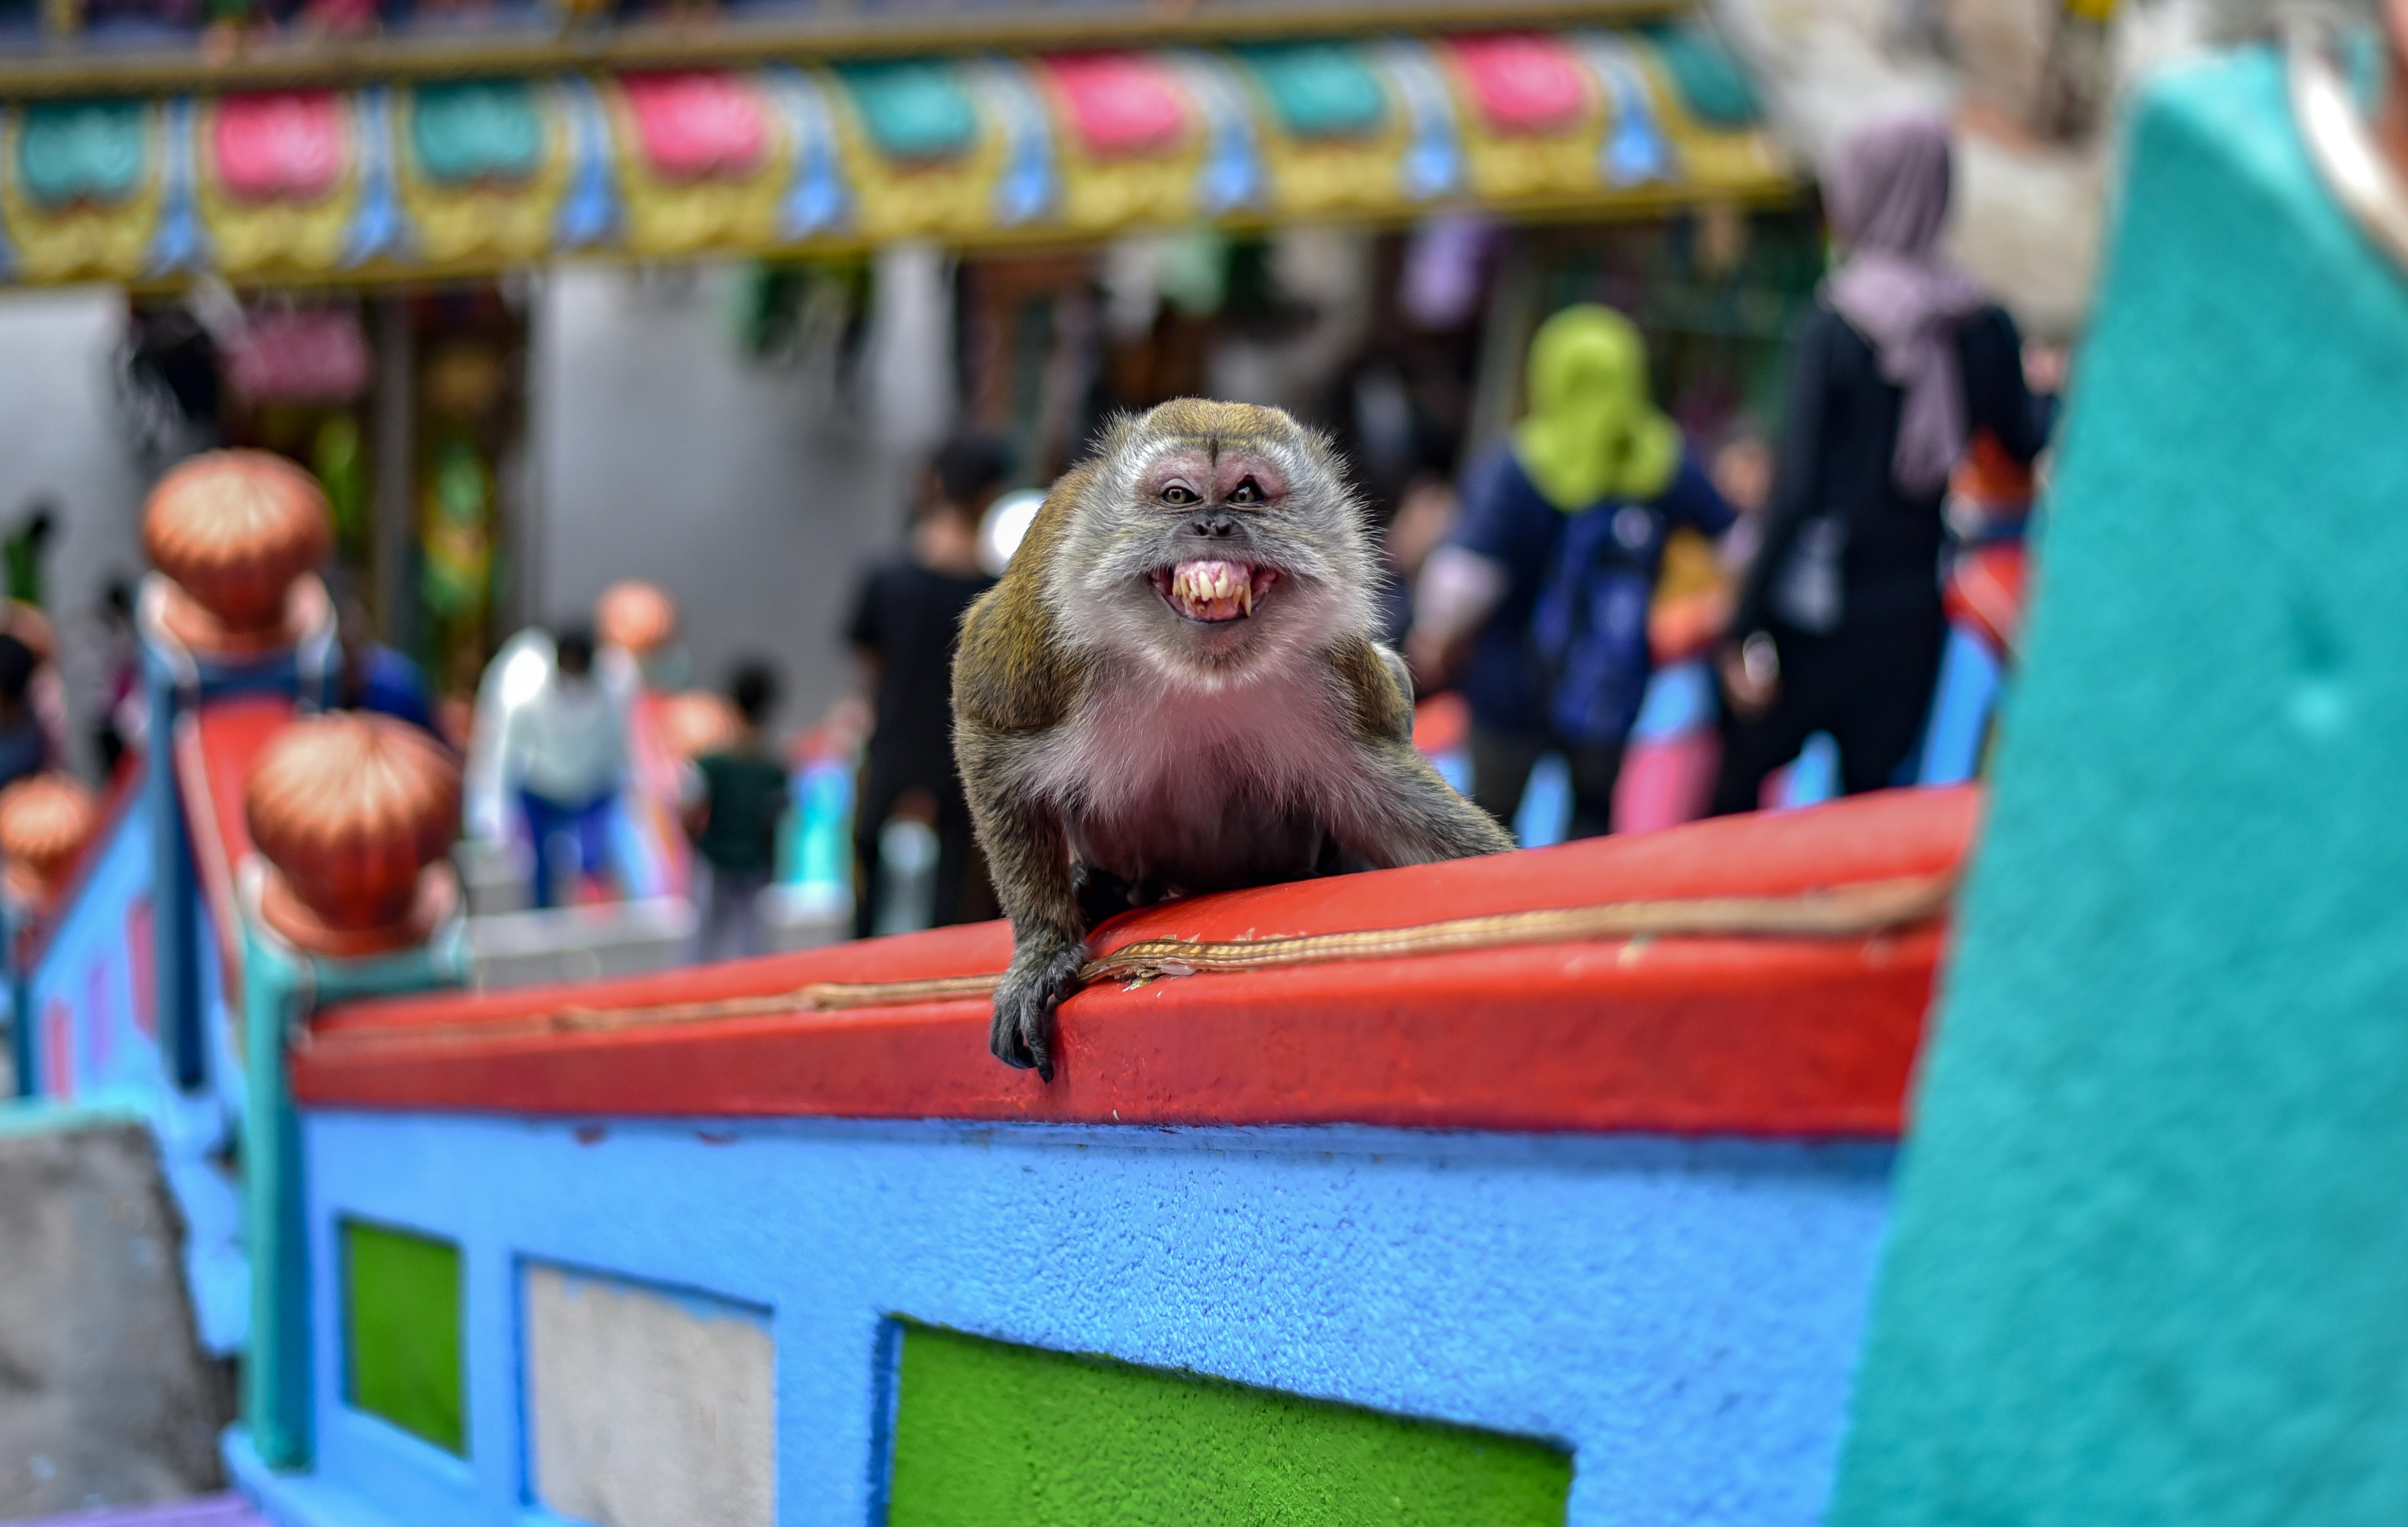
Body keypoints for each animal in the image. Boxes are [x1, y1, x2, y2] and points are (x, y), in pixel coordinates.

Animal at [952, 399, 1516, 1078]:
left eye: (1247, 494)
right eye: (1178, 496)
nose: (1214, 524)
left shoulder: (1332, 666)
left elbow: (1390, 797)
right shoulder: (1039, 638)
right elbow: (989, 732)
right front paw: (1043, 947)